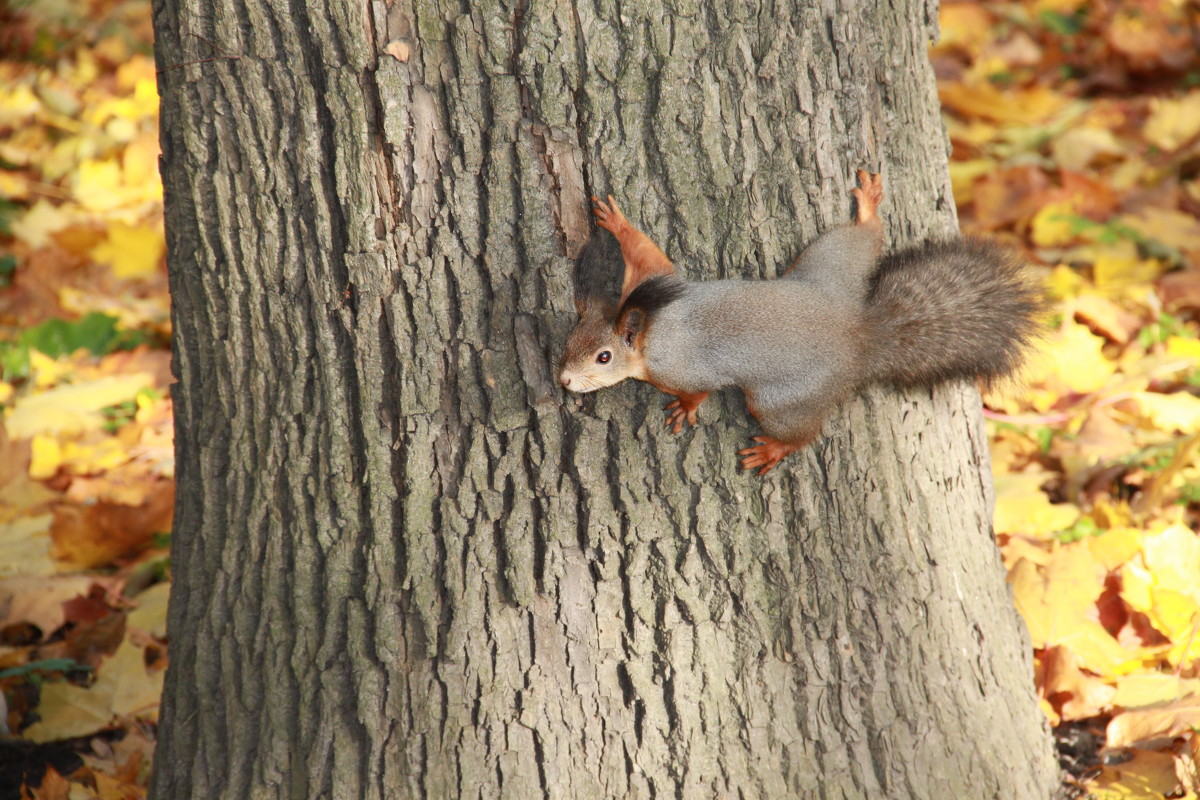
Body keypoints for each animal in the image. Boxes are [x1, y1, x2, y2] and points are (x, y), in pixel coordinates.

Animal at [556, 171, 1036, 472]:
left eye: (603, 357)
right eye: (570, 339)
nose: (563, 381)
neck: (651, 330)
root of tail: (858, 338)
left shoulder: (680, 366)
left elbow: (699, 391)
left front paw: (685, 410)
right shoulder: (651, 281)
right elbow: (648, 252)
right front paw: (617, 222)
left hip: (779, 400)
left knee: (804, 432)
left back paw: (774, 449)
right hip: (831, 265)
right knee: (862, 238)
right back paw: (868, 208)